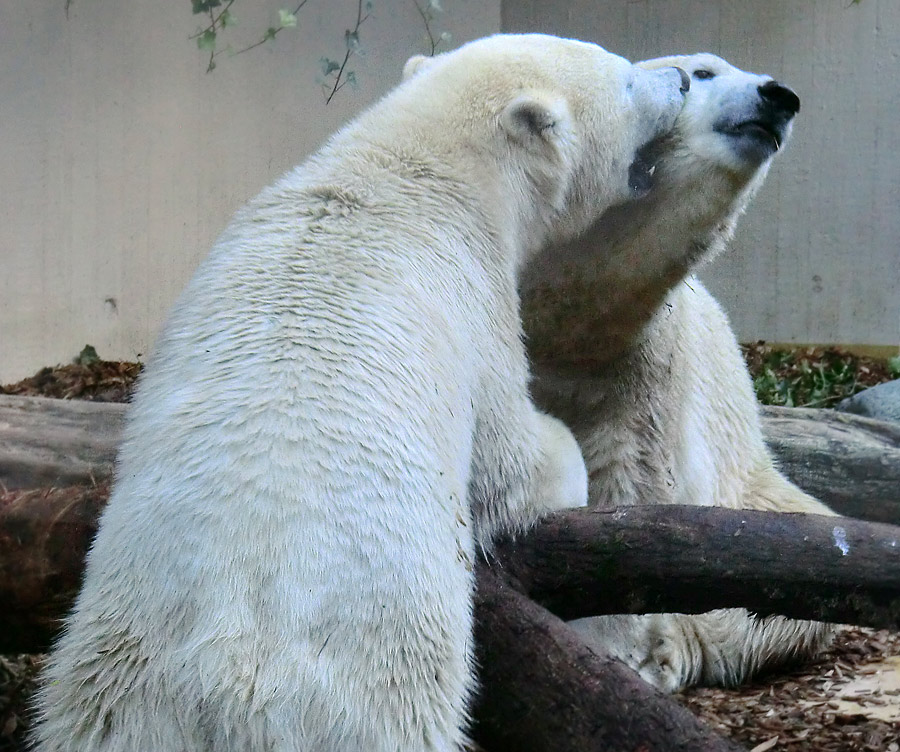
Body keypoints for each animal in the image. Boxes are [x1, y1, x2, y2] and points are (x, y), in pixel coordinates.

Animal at [29, 32, 688, 748]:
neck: (410, 167)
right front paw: (564, 456)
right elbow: (504, 463)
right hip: (377, 673)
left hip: (116, 683)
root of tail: (231, 676)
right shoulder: (473, 307)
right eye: (626, 77)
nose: (681, 78)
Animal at [520, 53, 836, 692]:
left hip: (748, 484)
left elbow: (627, 495)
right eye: (703, 72)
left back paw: (672, 649)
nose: (778, 96)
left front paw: (616, 649)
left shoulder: (636, 370)